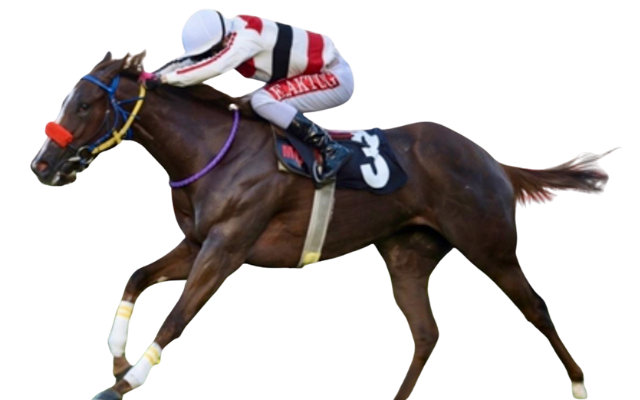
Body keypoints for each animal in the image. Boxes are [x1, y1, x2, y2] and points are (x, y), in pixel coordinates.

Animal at [31, 50, 619, 400]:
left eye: (84, 104)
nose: (41, 165)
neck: (210, 149)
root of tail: (492, 160)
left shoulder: (226, 247)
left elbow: (178, 316)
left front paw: (124, 382)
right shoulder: (197, 241)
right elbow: (135, 275)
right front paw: (115, 357)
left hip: (489, 246)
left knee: (535, 308)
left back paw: (579, 385)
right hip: (406, 257)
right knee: (426, 331)